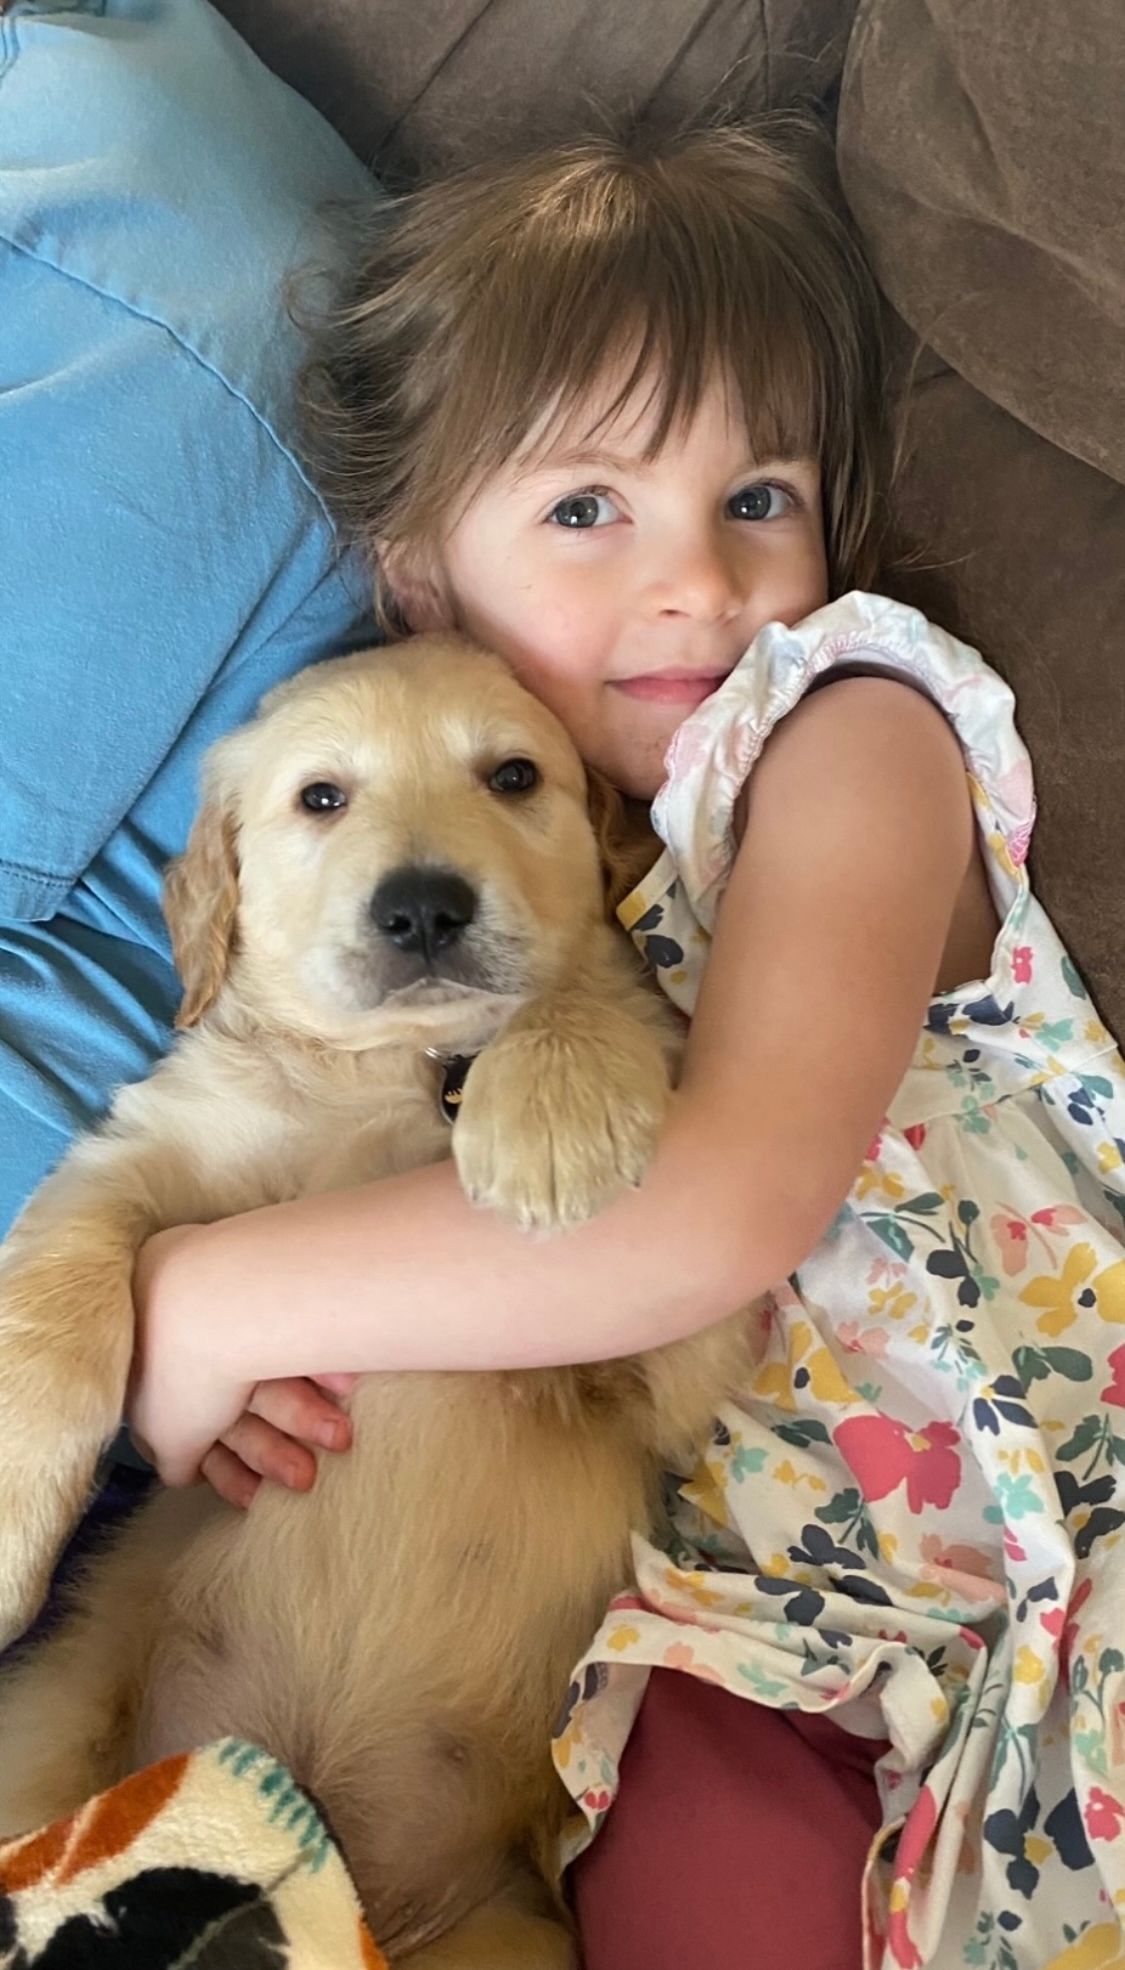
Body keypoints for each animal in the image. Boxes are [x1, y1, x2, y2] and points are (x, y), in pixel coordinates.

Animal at [0, 638, 748, 1962]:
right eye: (321, 797)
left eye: (514, 775)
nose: (424, 907)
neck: (404, 1072)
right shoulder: (144, 1147)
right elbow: (63, 1283)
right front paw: (3, 1528)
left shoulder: (672, 1367)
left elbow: (578, 982)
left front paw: (551, 1106)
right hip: (48, 1726)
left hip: (509, 1928)